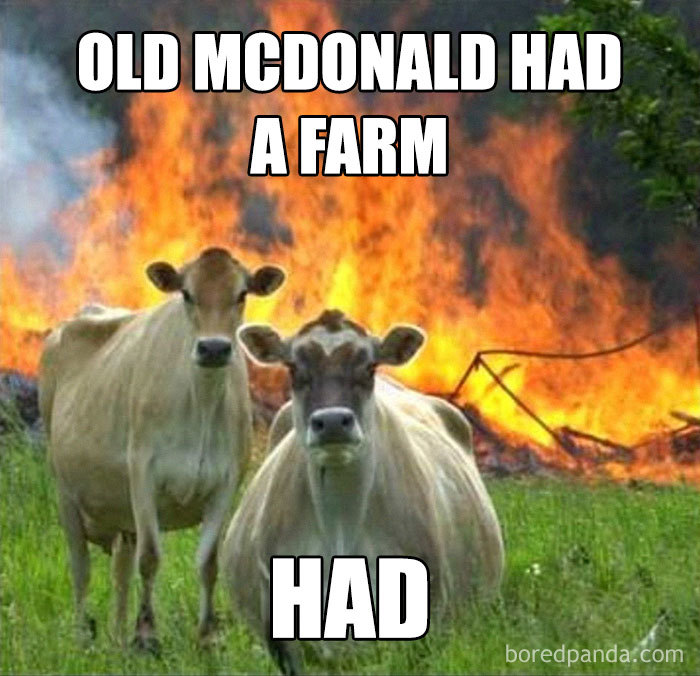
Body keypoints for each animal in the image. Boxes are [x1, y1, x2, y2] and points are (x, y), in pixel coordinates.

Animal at [38, 247, 285, 651]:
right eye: (186, 294)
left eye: (241, 294)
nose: (214, 348)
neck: (200, 403)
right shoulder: (143, 474)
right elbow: (151, 557)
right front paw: (147, 635)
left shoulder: (226, 484)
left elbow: (208, 562)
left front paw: (206, 636)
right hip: (65, 491)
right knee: (81, 569)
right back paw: (83, 636)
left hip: (119, 510)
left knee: (120, 569)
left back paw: (117, 636)